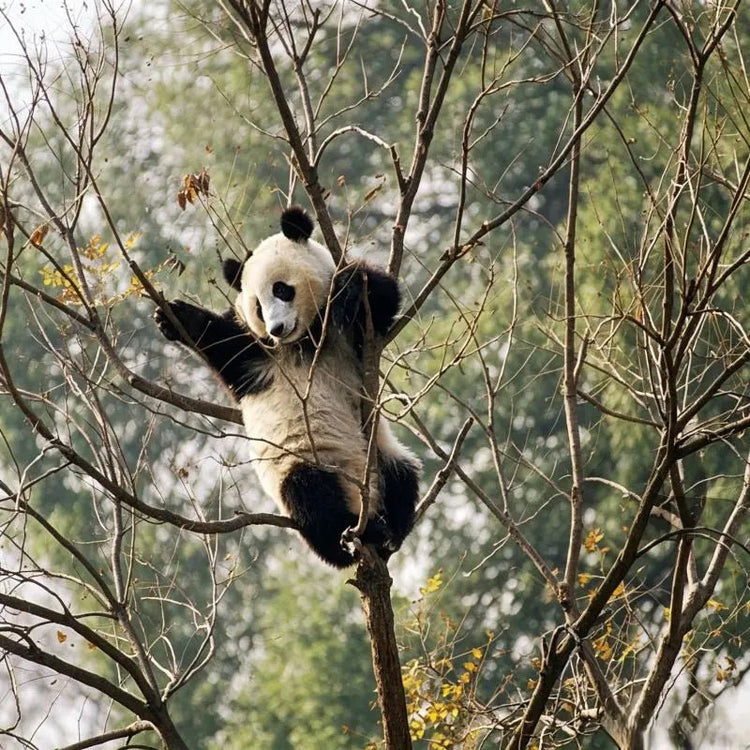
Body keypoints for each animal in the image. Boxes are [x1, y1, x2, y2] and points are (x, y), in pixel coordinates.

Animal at [154, 206, 420, 567]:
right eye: (257, 307)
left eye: (282, 289)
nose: (277, 328)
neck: (305, 338)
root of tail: (360, 498)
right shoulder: (257, 355)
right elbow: (224, 347)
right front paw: (175, 317)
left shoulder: (355, 338)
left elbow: (381, 298)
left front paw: (350, 286)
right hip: (299, 461)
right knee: (311, 499)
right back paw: (359, 536)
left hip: (382, 452)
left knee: (404, 479)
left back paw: (389, 532)